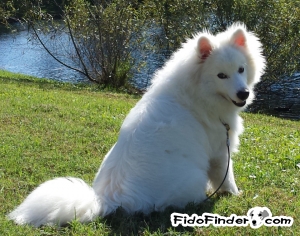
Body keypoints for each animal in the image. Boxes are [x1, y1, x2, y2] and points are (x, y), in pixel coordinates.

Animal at [7, 22, 264, 227]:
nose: (244, 93)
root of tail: (110, 200)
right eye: (222, 75)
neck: (196, 93)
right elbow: (227, 178)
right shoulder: (220, 151)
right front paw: (235, 194)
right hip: (194, 177)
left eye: (241, 69)